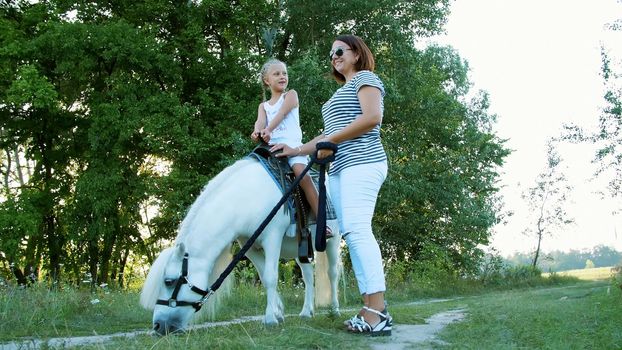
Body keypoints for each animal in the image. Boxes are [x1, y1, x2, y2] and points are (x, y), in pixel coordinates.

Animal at [140, 157, 342, 334]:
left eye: (169, 281)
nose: (158, 326)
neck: (246, 198)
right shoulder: (249, 245)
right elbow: (264, 277)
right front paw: (277, 312)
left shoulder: (272, 238)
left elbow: (271, 277)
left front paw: (270, 318)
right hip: (300, 248)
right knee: (307, 275)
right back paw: (306, 312)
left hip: (333, 242)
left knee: (332, 274)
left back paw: (335, 309)